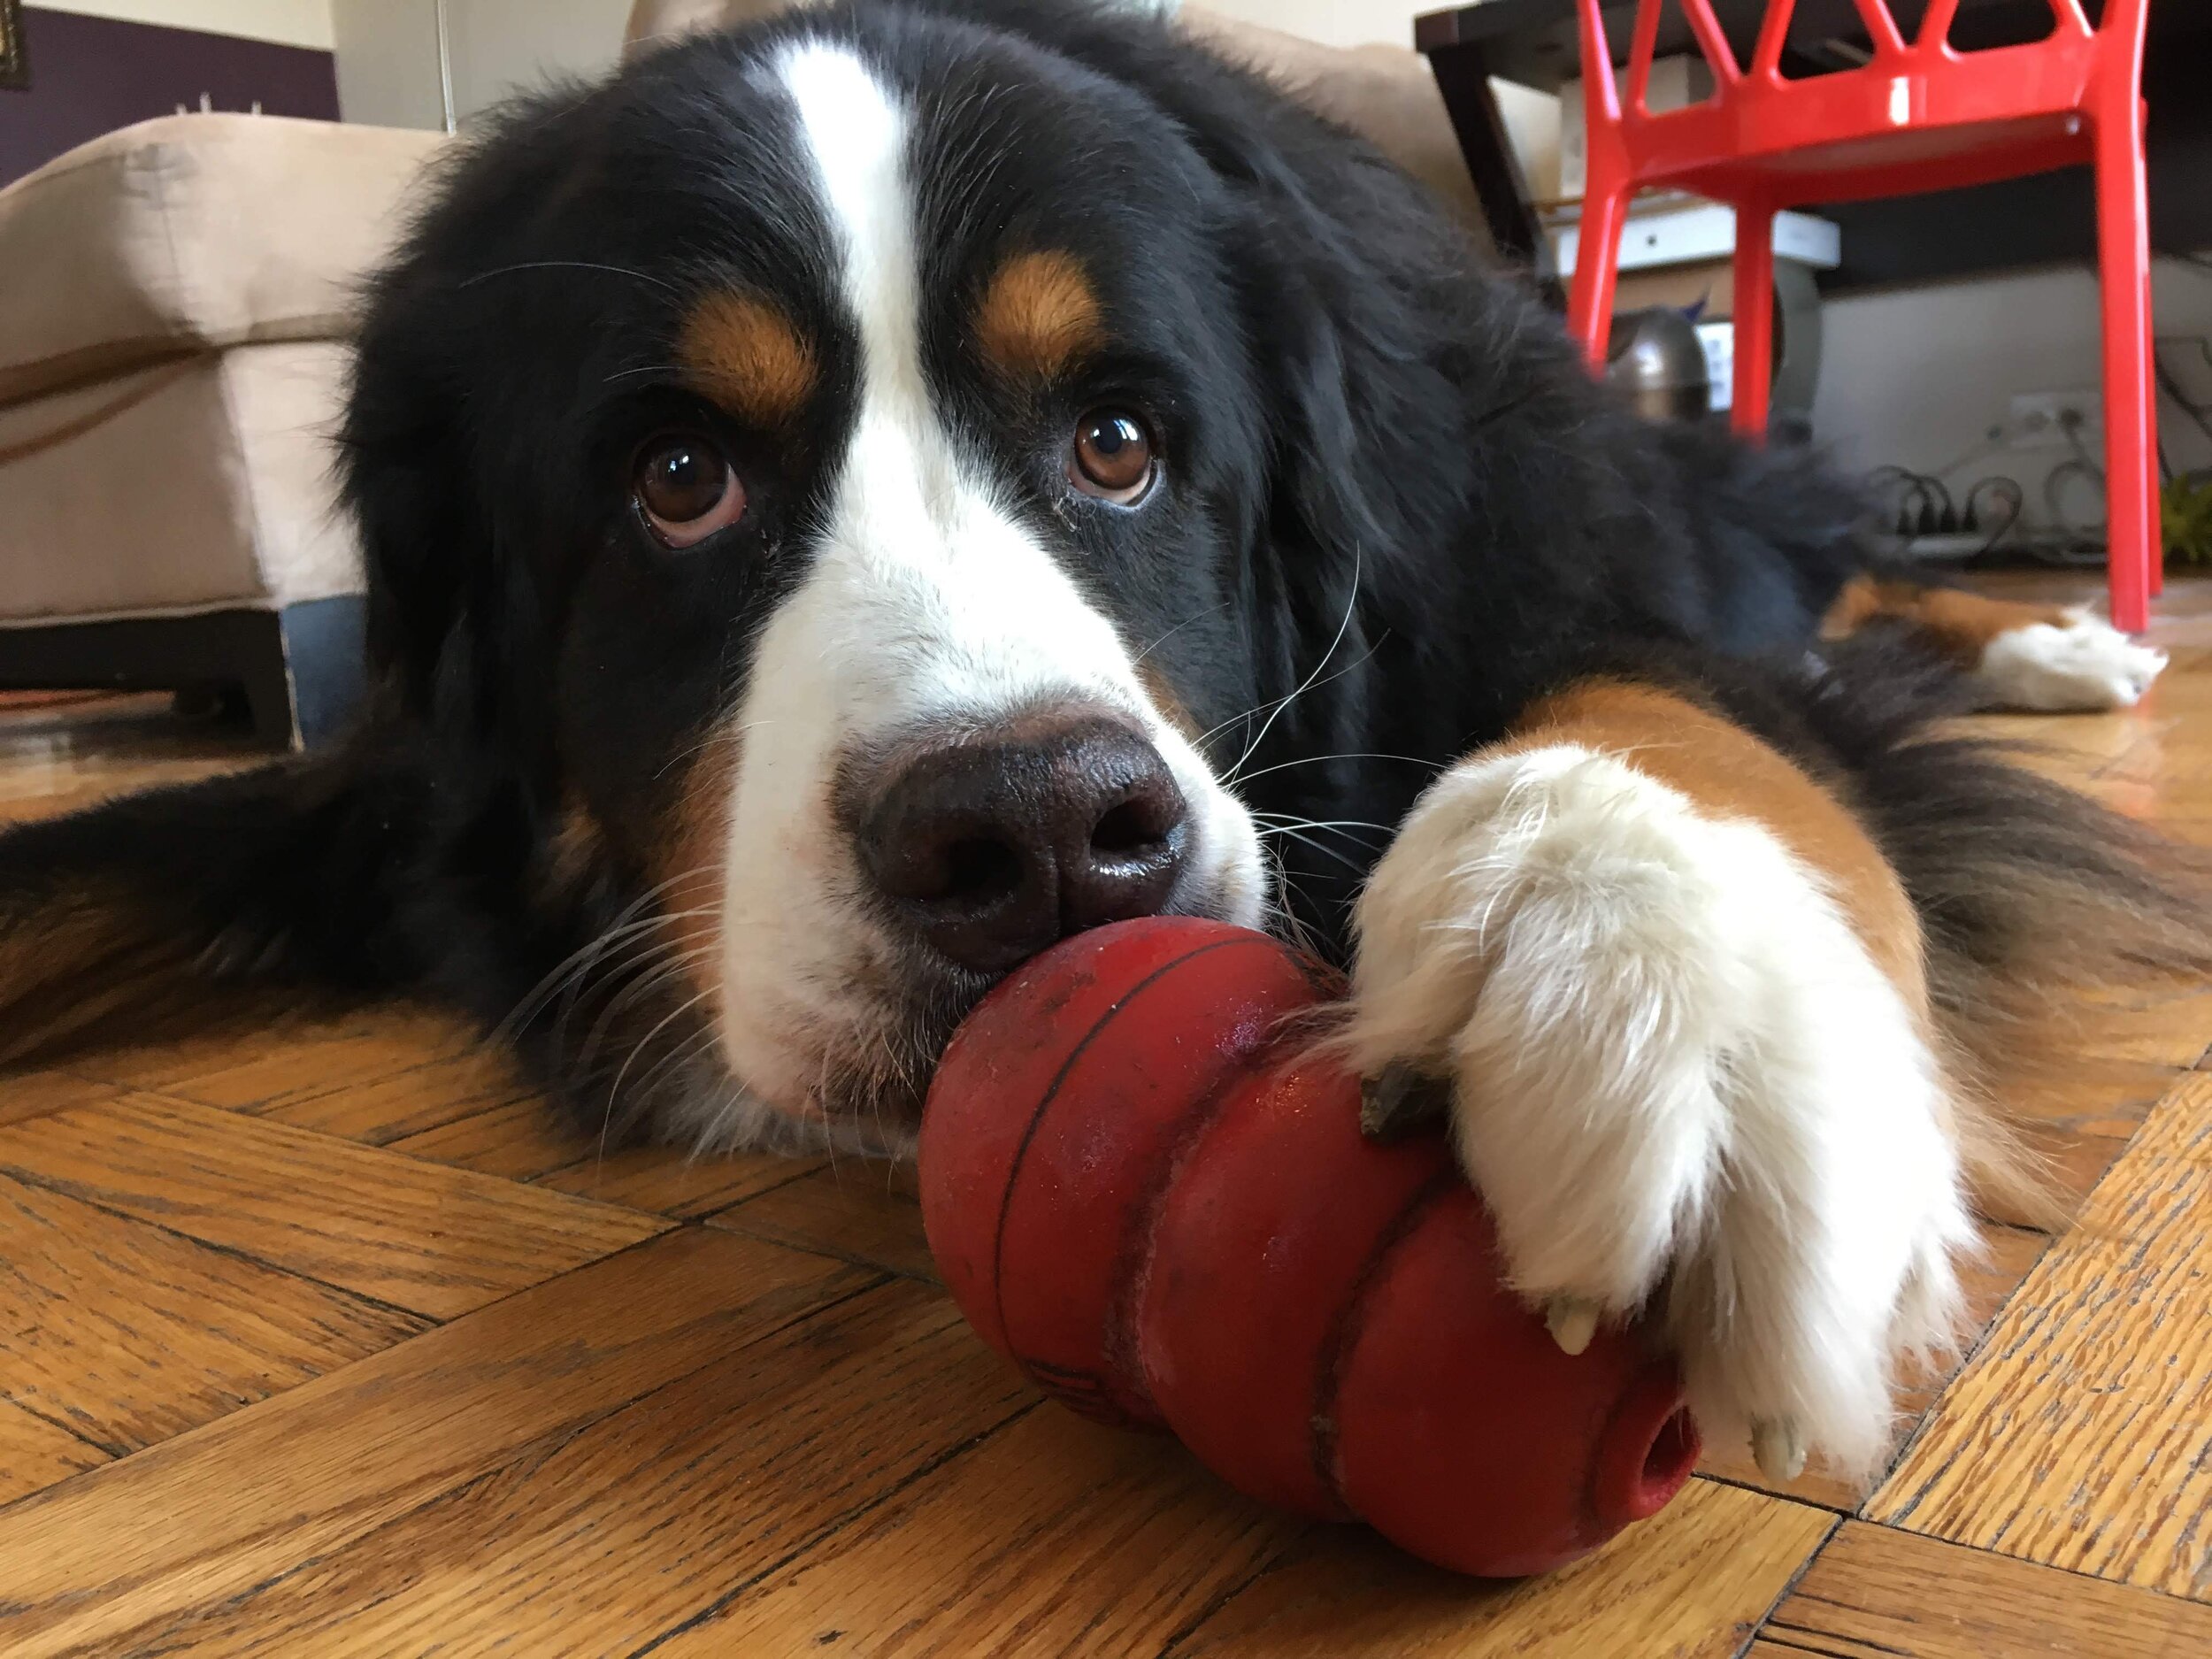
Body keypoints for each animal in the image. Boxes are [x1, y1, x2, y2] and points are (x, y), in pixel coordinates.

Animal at [0, 0, 2194, 1486]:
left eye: (1117, 442)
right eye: (678, 481)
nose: (1039, 827)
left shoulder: (1542, 551)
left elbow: (1683, 696)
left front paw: (1660, 967)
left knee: (1825, 571)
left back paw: (2061, 639)